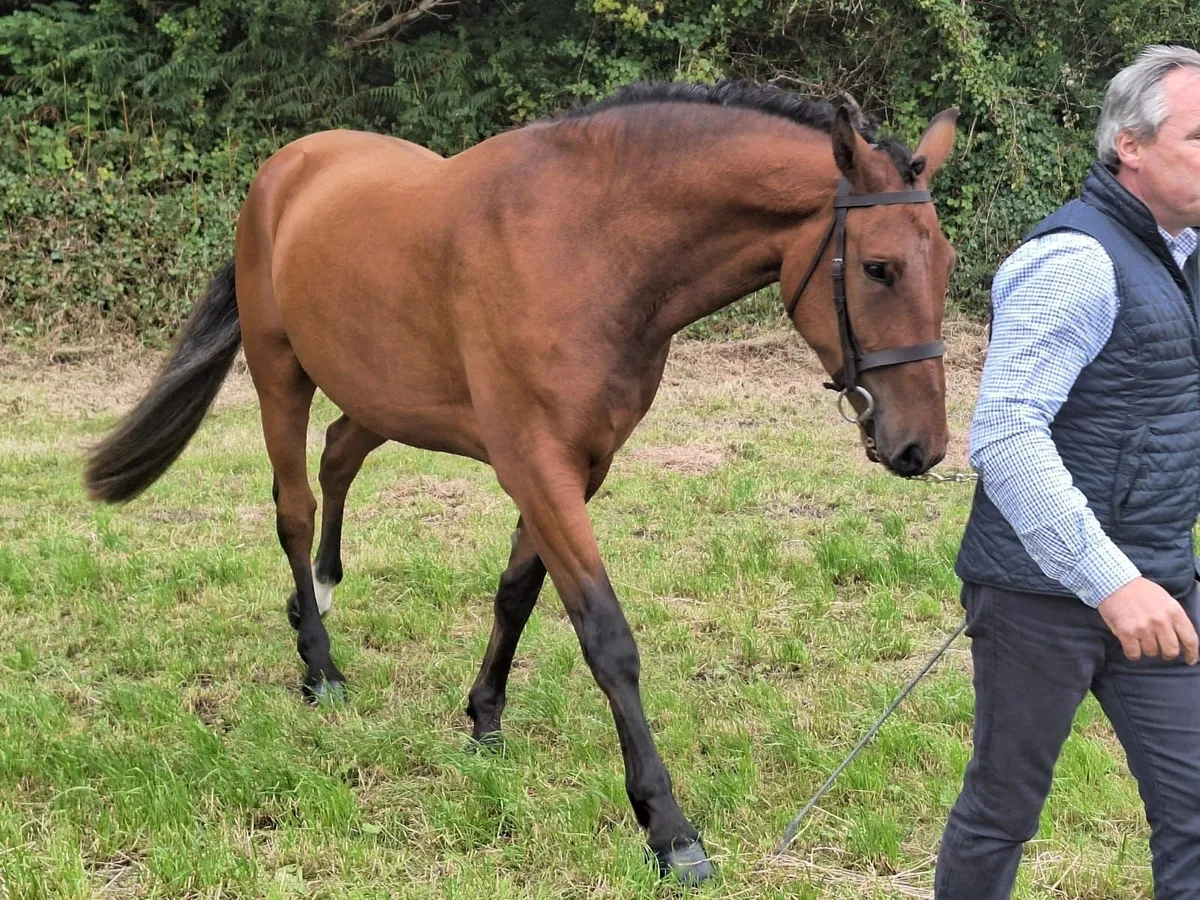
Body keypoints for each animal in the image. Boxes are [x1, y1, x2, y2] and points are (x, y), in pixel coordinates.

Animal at [84, 80, 959, 884]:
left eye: (945, 265)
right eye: (879, 268)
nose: (921, 446)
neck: (587, 244)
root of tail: (286, 168)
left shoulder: (577, 469)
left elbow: (517, 594)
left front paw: (484, 721)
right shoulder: (538, 467)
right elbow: (606, 636)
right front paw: (668, 829)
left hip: (380, 394)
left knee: (338, 455)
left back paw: (320, 593)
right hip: (280, 376)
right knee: (294, 507)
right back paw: (319, 664)